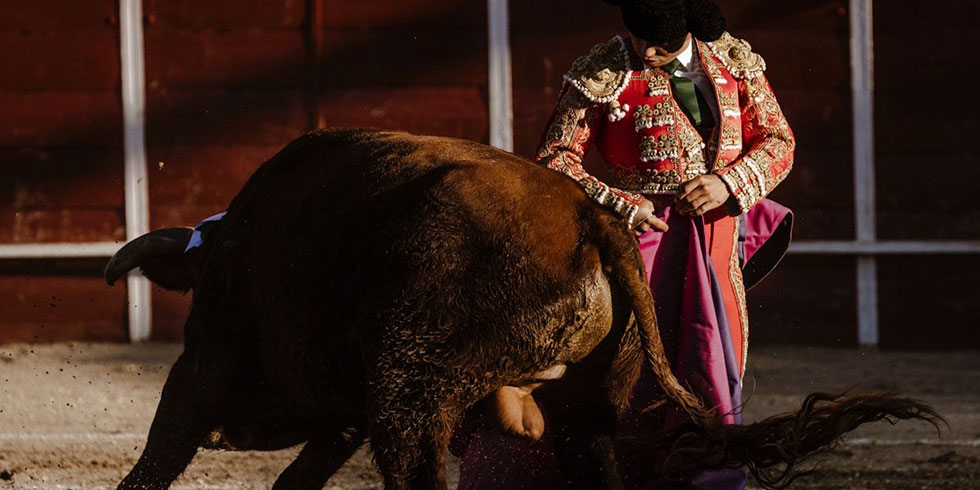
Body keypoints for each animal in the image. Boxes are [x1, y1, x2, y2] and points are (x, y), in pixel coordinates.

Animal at [105, 129, 940, 490]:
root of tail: (593, 218)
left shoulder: (204, 368)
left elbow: (156, 459)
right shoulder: (341, 417)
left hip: (412, 395)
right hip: (586, 410)